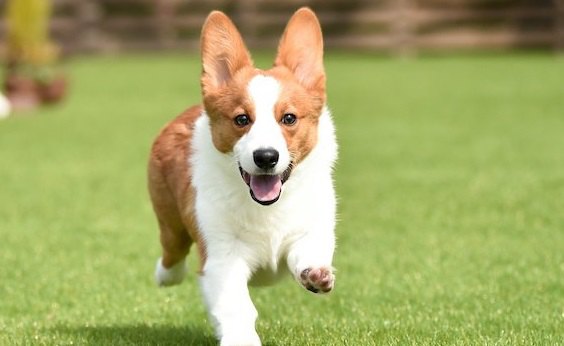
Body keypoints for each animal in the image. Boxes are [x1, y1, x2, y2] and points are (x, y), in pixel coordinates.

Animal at [148, 6, 338, 344]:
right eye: (241, 119)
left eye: (289, 118)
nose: (266, 157)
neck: (268, 207)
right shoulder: (222, 257)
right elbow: (236, 305)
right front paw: (241, 338)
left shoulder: (311, 229)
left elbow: (308, 252)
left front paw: (317, 275)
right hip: (171, 228)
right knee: (172, 257)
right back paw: (164, 275)